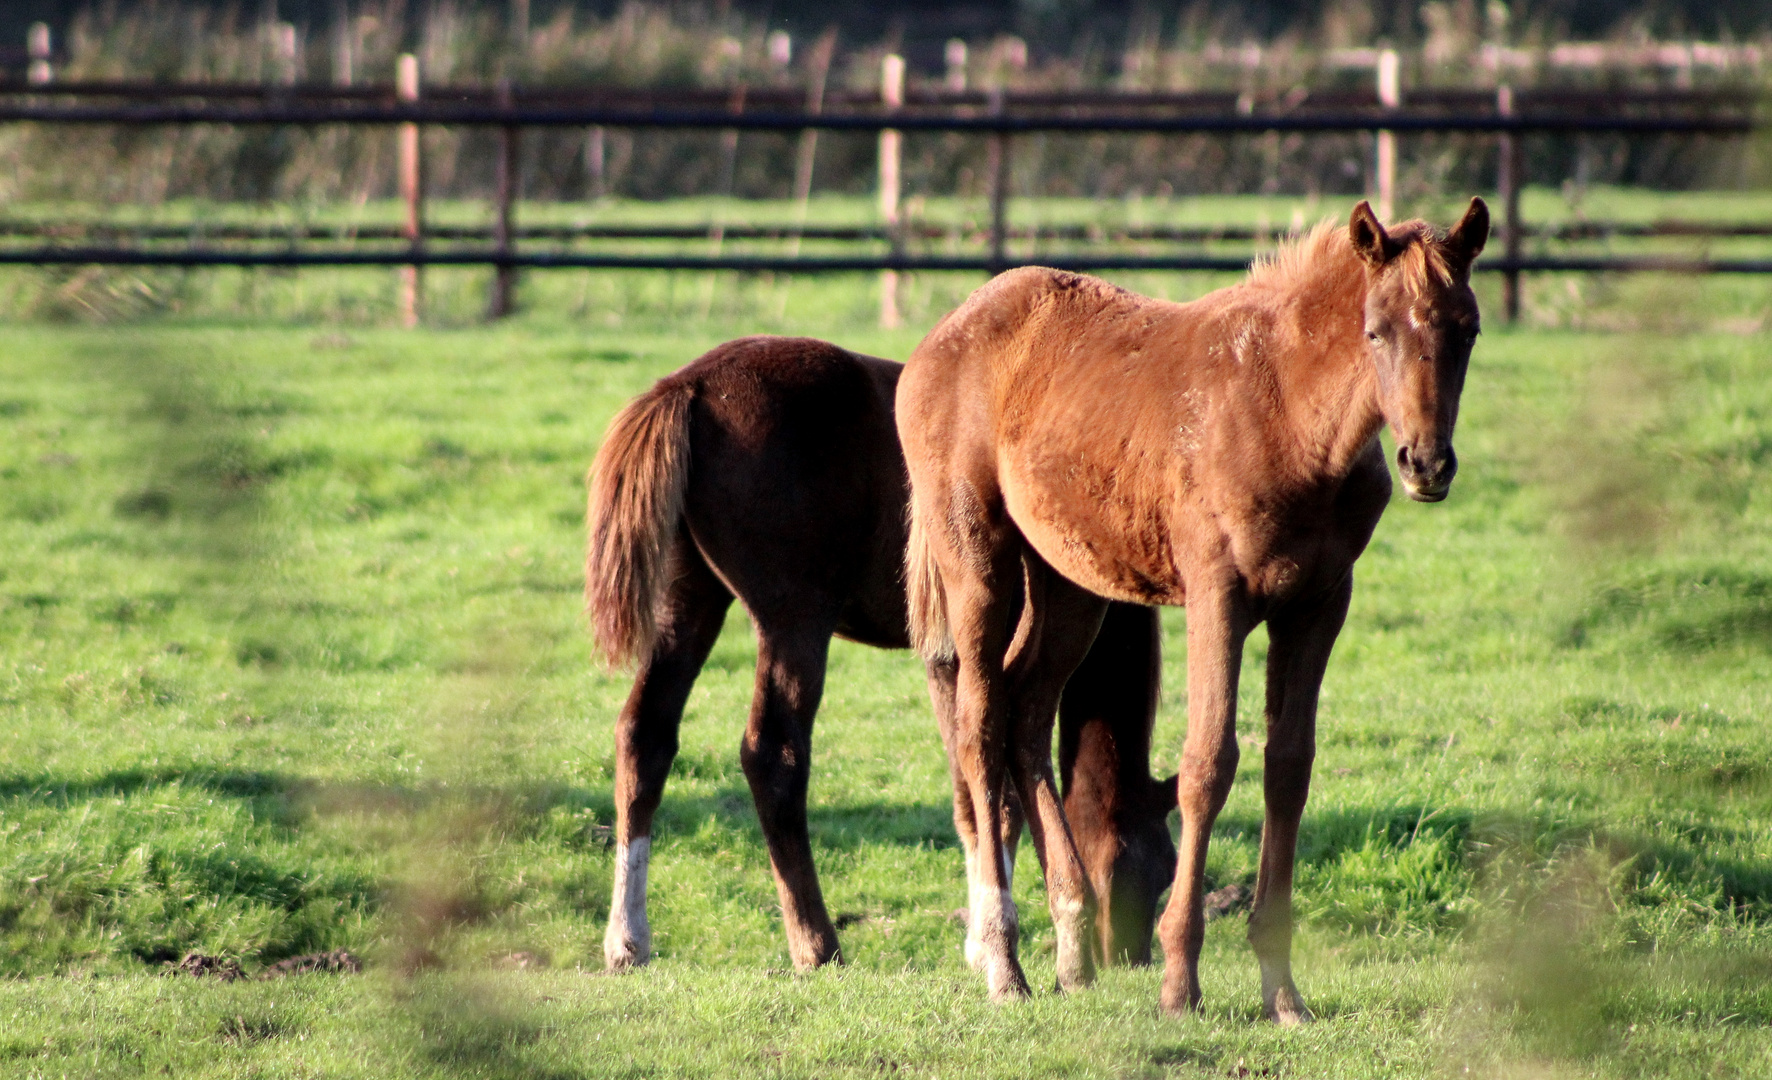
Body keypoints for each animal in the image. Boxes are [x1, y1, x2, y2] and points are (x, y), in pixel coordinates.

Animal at [588, 335, 1183, 971]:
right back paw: (816, 944)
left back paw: (628, 940)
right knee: (772, 754)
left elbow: (972, 796)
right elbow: (995, 795)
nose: (1130, 961)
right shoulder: (971, 654)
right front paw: (988, 945)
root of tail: (691, 387)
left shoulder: (946, 660)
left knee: (644, 737)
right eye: (1151, 865)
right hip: (795, 621)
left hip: (689, 602)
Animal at [893, 200, 1488, 1007]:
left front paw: (1282, 993)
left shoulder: (1320, 603)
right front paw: (1180, 981)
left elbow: (1288, 767)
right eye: (1376, 329)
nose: (1426, 464)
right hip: (978, 566)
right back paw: (1004, 962)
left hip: (1068, 584)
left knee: (1025, 715)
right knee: (979, 727)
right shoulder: (1218, 596)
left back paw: (1071, 952)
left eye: (1468, 329)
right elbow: (1208, 764)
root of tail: (939, 339)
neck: (1288, 412)